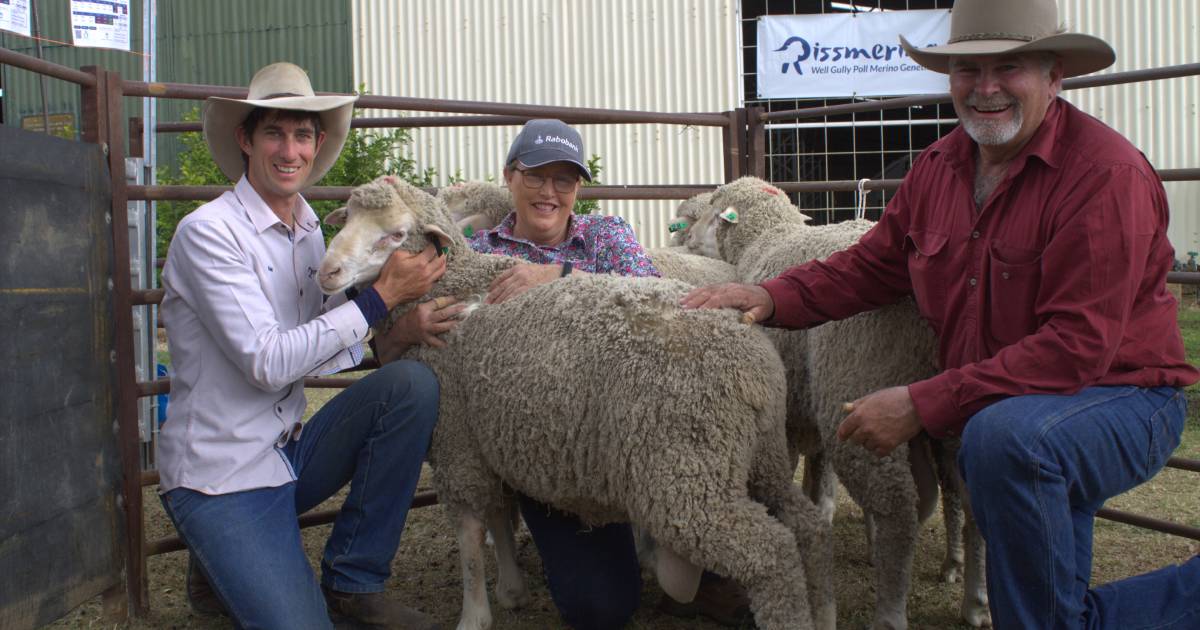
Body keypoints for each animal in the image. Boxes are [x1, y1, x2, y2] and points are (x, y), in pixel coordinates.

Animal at [319, 174, 835, 628]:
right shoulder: (488, 432)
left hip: (685, 476)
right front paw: (512, 589)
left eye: (395, 234)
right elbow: (499, 512)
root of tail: (755, 365)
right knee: (806, 529)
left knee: (771, 555)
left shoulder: (456, 438)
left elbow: (469, 534)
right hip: (758, 456)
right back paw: (824, 612)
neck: (456, 288)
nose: (327, 272)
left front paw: (474, 615)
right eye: (347, 220)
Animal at [705, 175, 988, 628]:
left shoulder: (787, 415)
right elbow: (819, 475)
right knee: (972, 504)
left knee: (898, 510)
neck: (765, 240)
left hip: (858, 390)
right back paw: (975, 600)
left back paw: (890, 613)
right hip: (953, 404)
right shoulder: (806, 407)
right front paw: (826, 512)